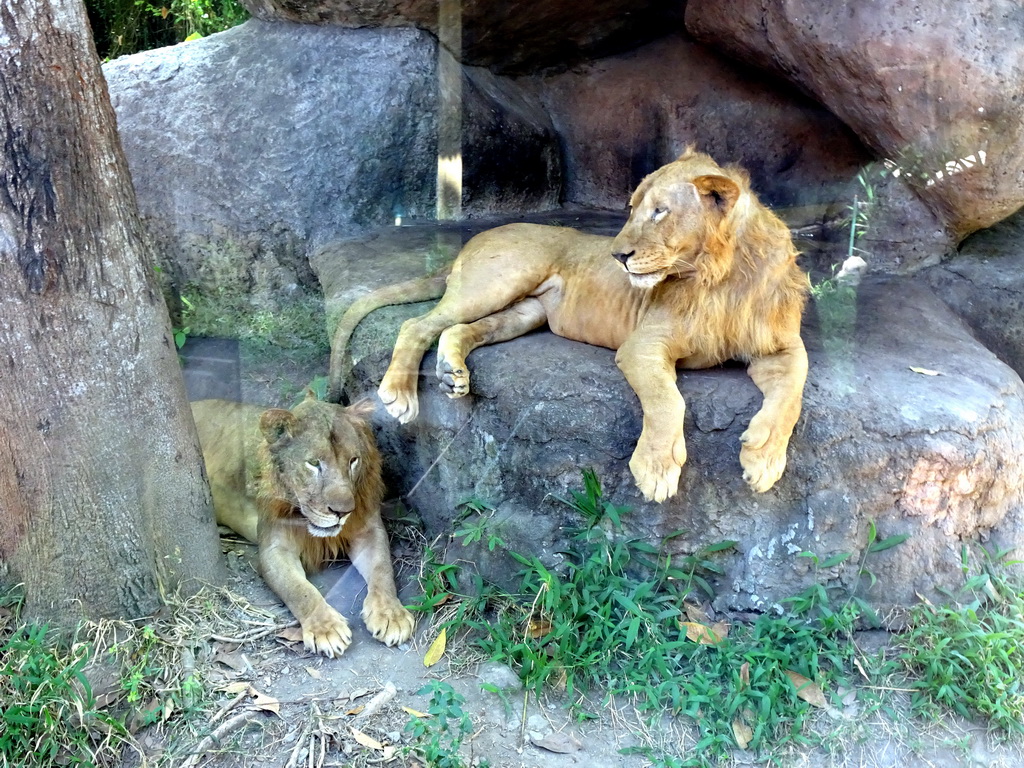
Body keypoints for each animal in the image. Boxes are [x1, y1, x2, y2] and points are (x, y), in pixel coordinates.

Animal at [190, 397, 413, 655]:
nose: (343, 512)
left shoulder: (369, 531)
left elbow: (382, 570)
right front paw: (326, 629)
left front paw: (391, 614)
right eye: (314, 463)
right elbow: (300, 590)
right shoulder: (275, 550)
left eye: (353, 461)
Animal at [327, 148, 806, 505]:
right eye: (633, 209)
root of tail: (473, 238)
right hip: (499, 281)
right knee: (417, 323)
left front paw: (763, 459)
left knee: (457, 330)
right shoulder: (644, 344)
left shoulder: (782, 346)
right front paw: (656, 468)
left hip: (523, 312)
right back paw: (401, 393)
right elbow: (668, 400)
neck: (721, 275)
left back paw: (451, 374)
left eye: (660, 212)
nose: (618, 256)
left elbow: (793, 392)